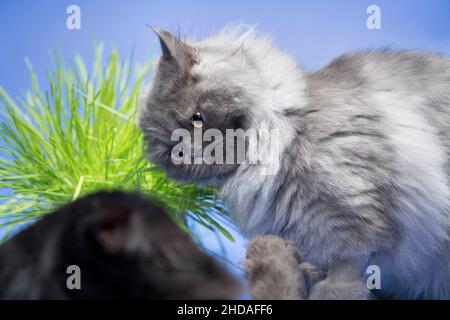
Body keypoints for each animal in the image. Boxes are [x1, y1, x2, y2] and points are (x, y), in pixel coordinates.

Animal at [139, 26, 450, 300]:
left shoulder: (358, 216)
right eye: (170, 151)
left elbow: (348, 267)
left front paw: (332, 291)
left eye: (197, 118)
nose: (187, 152)